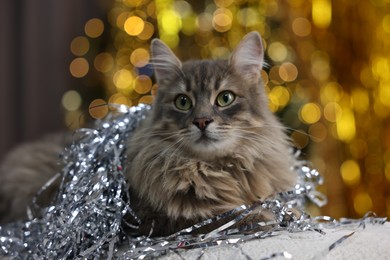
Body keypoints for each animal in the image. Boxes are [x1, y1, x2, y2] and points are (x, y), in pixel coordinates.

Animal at [0, 31, 296, 237]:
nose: (202, 121)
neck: (215, 169)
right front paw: (260, 216)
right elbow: (214, 216)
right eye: (183, 102)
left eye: (225, 98)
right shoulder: (145, 218)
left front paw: (286, 211)